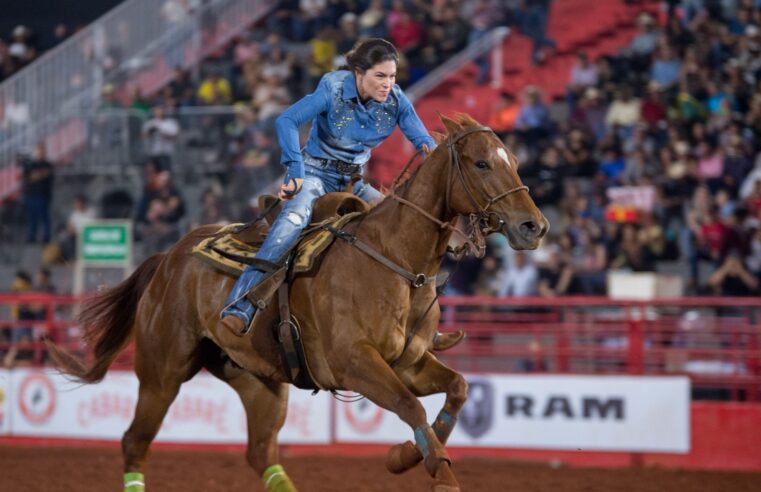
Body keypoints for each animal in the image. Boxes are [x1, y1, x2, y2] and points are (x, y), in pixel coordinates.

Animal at [47, 113, 548, 490]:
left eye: (513, 160)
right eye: (481, 163)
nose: (534, 227)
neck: (394, 261)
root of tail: (168, 257)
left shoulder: (409, 363)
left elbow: (458, 389)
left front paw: (406, 455)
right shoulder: (357, 365)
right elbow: (411, 407)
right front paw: (433, 469)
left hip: (260, 381)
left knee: (261, 453)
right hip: (161, 371)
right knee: (135, 442)